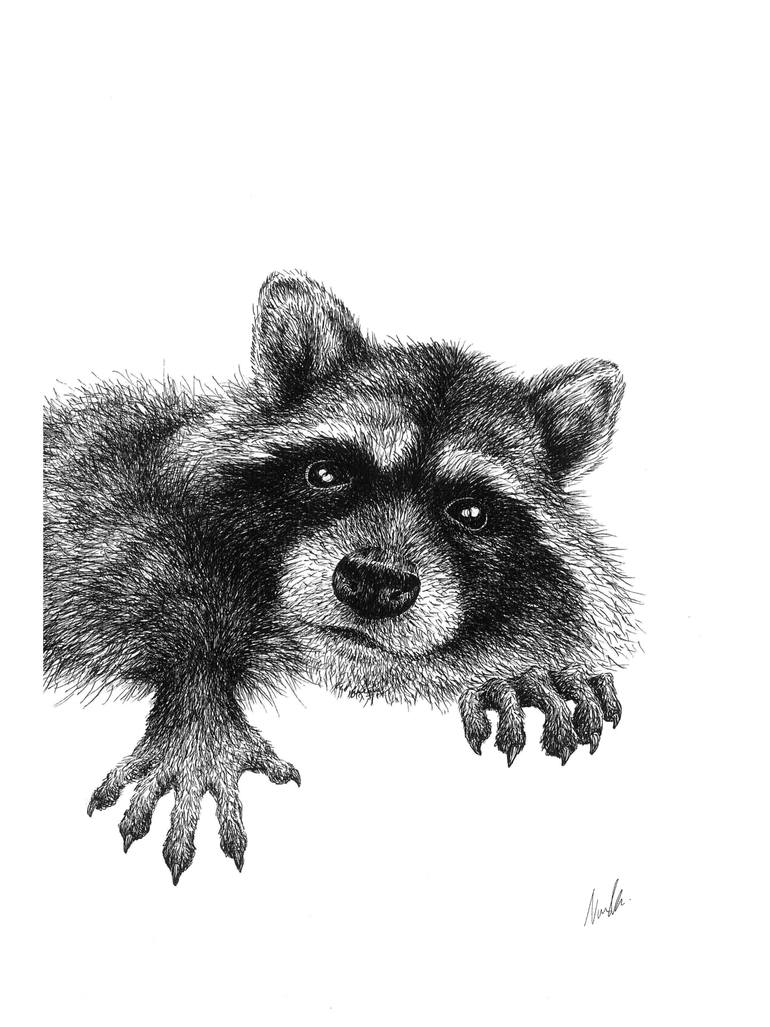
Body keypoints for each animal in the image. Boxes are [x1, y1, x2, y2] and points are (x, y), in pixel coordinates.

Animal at [44, 271, 638, 883]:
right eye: (327, 473)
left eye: (470, 512)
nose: (375, 584)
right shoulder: (106, 490)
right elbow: (120, 579)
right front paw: (199, 701)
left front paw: (518, 665)